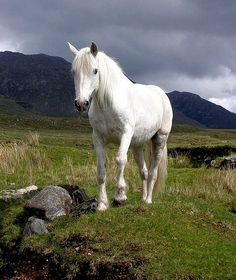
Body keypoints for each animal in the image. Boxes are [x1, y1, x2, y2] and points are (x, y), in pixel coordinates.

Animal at [67, 42, 172, 211]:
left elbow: (120, 160)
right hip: (138, 145)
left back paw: (149, 199)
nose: (81, 104)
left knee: (153, 172)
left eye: (95, 70)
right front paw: (102, 204)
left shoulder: (125, 134)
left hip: (160, 140)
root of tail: (161, 94)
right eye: (74, 72)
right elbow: (101, 169)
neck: (108, 103)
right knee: (144, 171)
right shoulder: (98, 137)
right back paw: (143, 199)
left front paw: (120, 196)